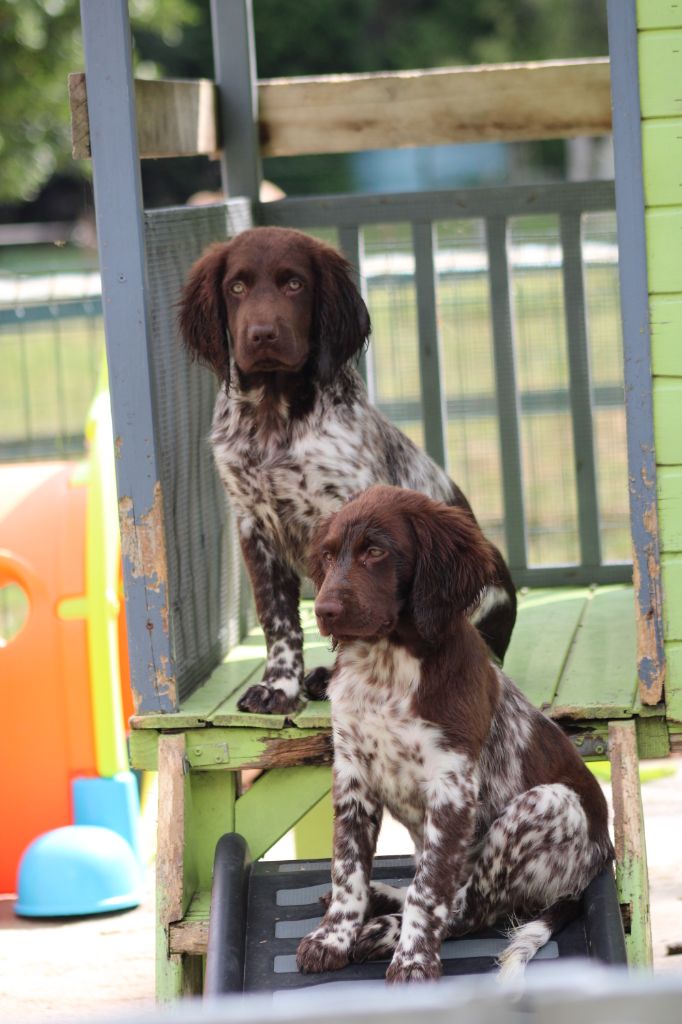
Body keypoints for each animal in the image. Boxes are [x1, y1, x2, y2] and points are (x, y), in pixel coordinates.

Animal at [178, 228, 512, 716]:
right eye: (236, 287)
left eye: (294, 284)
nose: (262, 335)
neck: (273, 419)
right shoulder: (253, 526)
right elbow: (278, 619)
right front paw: (279, 686)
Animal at [296, 487, 610, 983]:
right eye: (327, 556)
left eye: (375, 551)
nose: (325, 612)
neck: (387, 667)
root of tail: (598, 864)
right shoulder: (352, 775)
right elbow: (346, 868)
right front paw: (332, 937)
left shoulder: (452, 788)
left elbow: (430, 891)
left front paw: (412, 961)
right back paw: (381, 899)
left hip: (548, 803)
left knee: (470, 908)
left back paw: (385, 930)